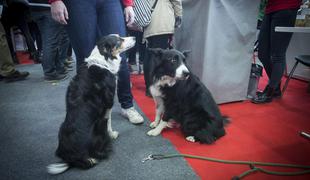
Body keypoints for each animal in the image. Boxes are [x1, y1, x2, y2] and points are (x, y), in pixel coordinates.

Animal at [47, 34, 136, 174]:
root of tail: (71, 158)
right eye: (119, 40)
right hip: (98, 127)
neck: (103, 60)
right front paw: (112, 134)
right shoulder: (108, 104)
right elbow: (109, 122)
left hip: (62, 128)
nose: (134, 37)